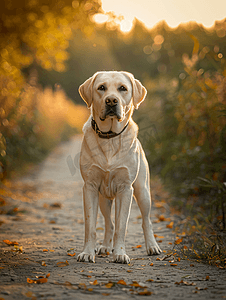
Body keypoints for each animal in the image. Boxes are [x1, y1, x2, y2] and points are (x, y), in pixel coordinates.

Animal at [77, 71, 162, 264]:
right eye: (101, 87)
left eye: (122, 88)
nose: (111, 101)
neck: (110, 137)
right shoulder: (90, 187)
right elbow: (90, 226)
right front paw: (87, 252)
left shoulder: (125, 189)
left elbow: (122, 226)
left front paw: (120, 254)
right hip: (103, 198)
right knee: (109, 223)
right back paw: (105, 247)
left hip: (143, 192)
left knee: (146, 221)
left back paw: (152, 246)